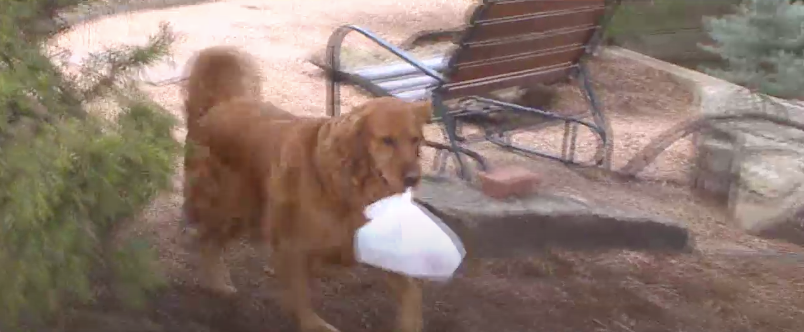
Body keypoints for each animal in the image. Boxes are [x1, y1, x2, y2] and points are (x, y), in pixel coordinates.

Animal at [182, 44, 434, 332]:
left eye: (415, 140)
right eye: (387, 140)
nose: (413, 178)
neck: (350, 188)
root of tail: (218, 107)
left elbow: (412, 292)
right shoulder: (293, 245)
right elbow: (300, 296)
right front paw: (313, 323)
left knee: (213, 242)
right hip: (231, 207)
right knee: (206, 239)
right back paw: (216, 283)